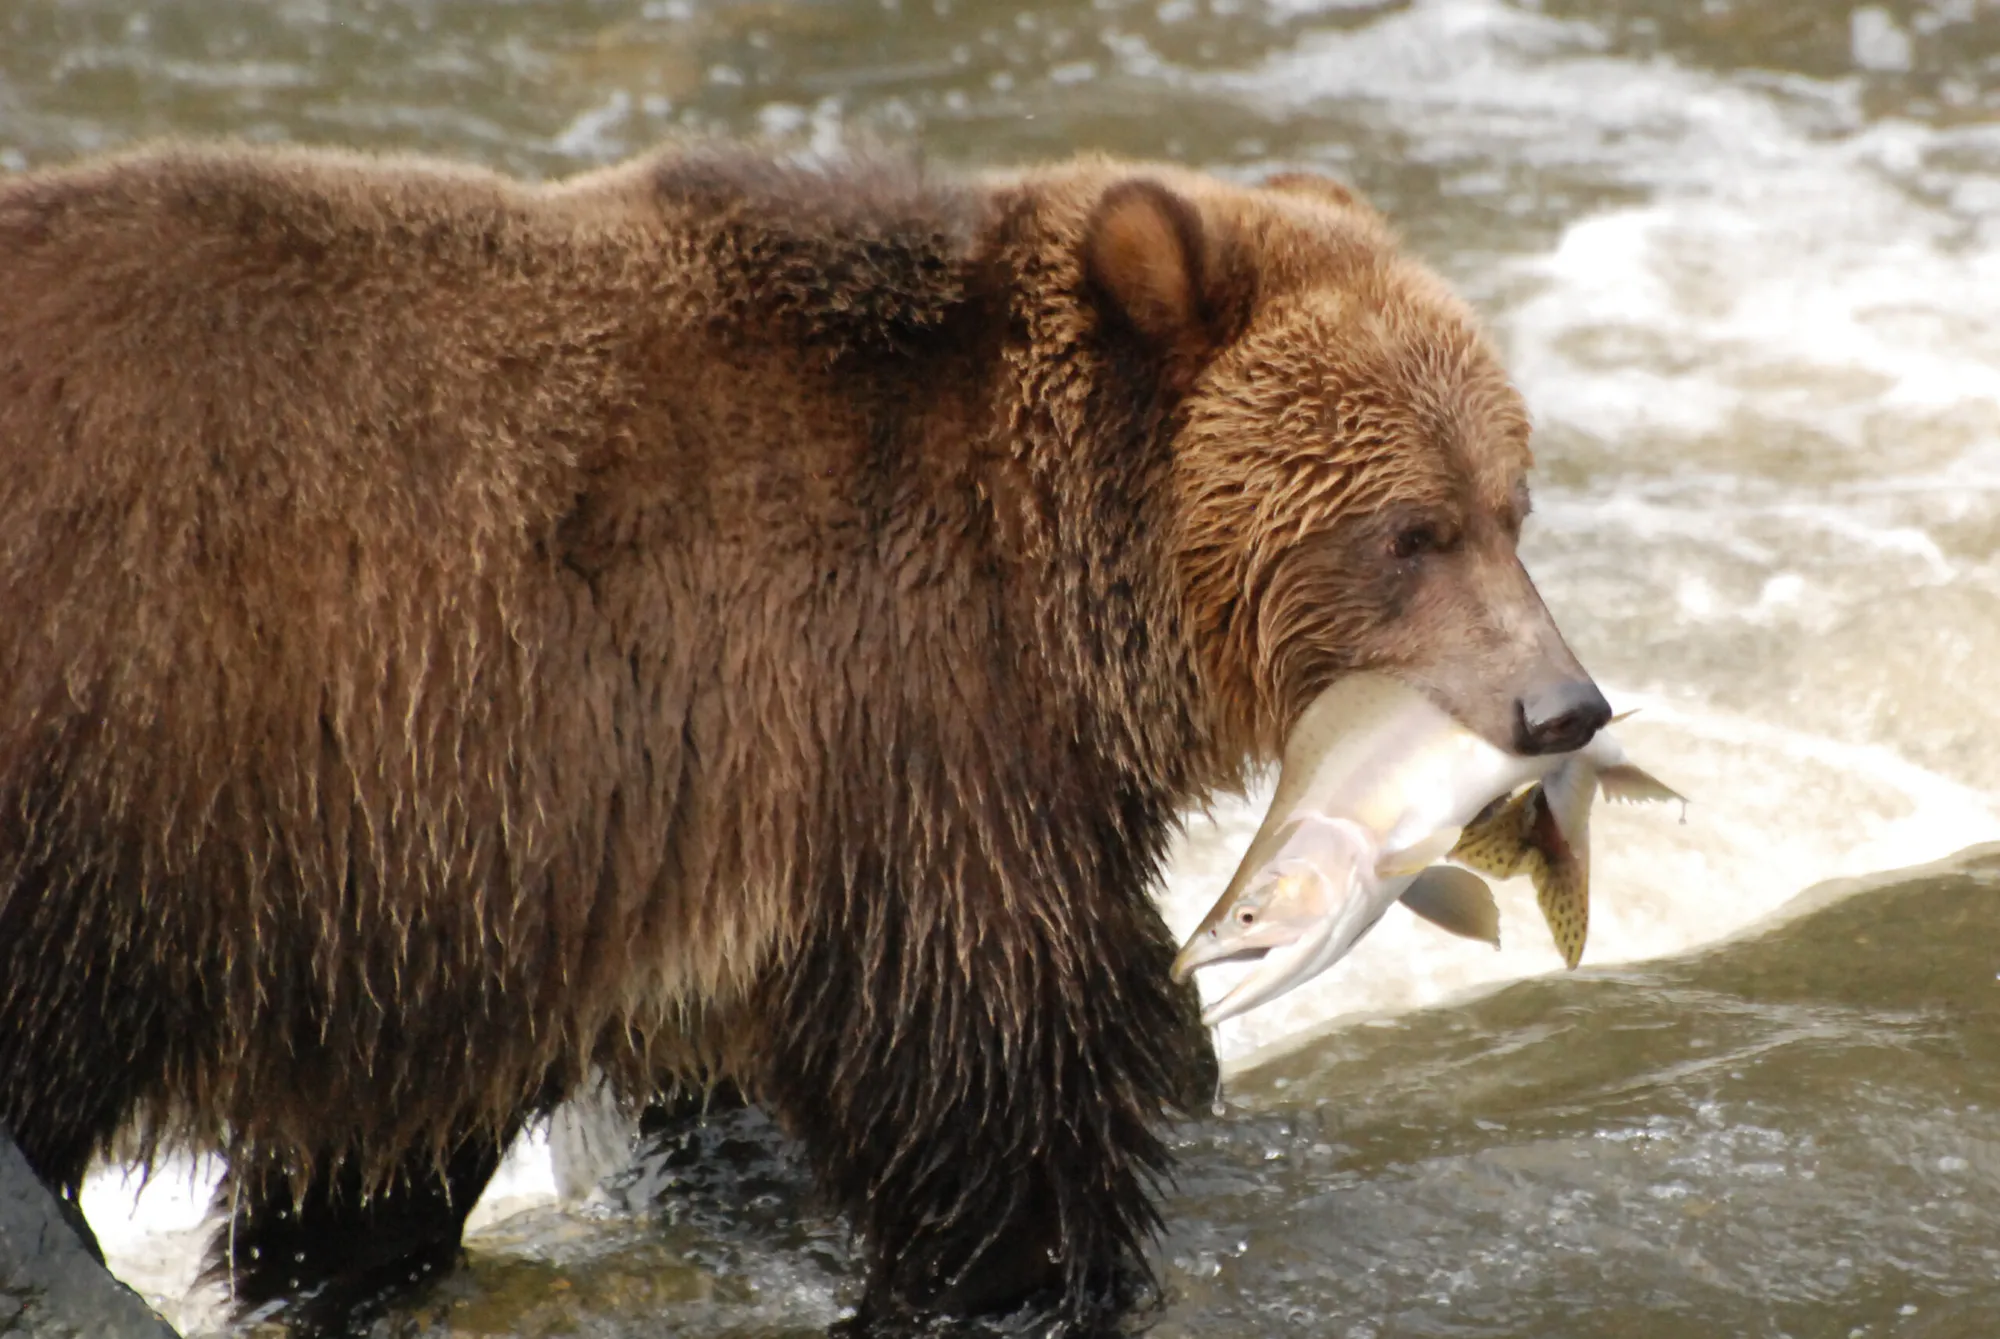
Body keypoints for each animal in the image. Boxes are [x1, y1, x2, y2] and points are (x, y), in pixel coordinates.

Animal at [0, 141, 1609, 1335]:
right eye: (1411, 529)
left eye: (1511, 503)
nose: (1565, 703)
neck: (1068, 595)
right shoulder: (870, 723)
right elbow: (989, 1060)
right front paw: (1019, 1272)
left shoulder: (474, 856)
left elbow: (389, 1132)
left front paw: (329, 1252)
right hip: (110, 752)